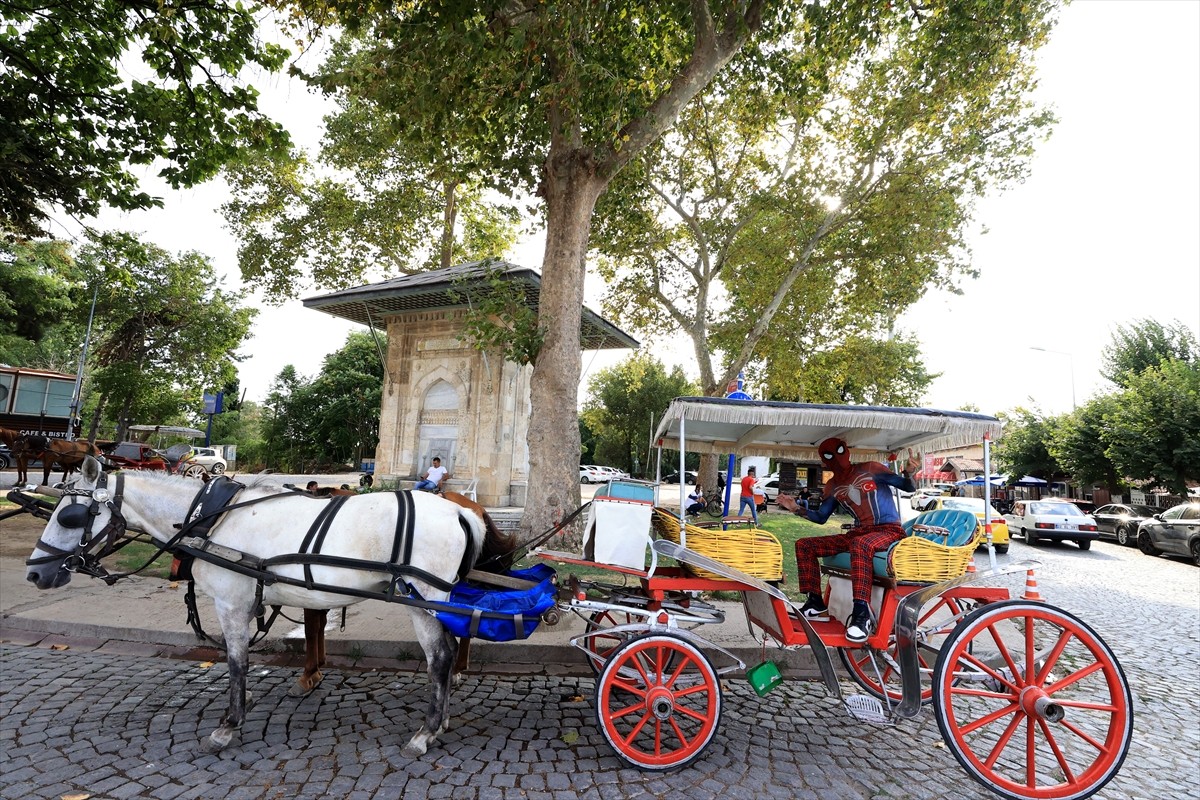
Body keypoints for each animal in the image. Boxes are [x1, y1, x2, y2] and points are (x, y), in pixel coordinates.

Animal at [23, 455, 501, 758]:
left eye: (68, 516)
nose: (34, 574)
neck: (209, 518)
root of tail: (461, 511)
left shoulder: (231, 602)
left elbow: (237, 661)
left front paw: (228, 724)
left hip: (423, 597)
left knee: (439, 658)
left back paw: (426, 731)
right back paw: (440, 721)